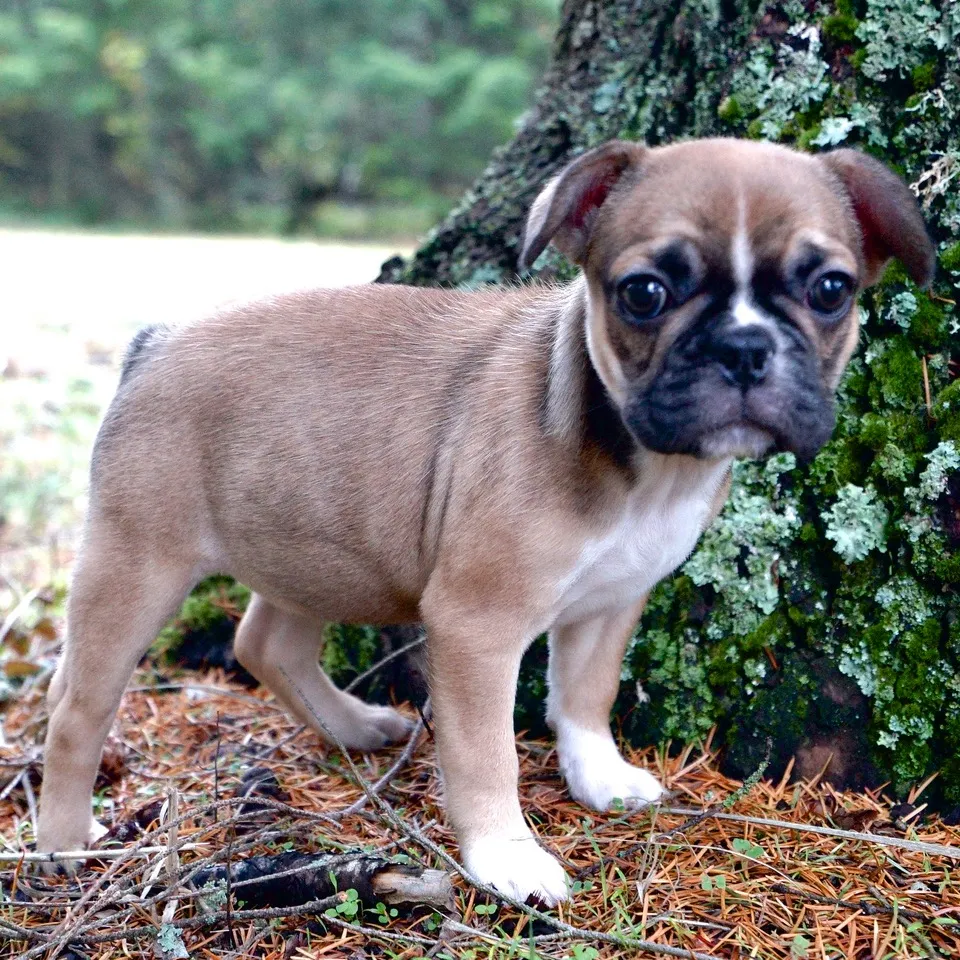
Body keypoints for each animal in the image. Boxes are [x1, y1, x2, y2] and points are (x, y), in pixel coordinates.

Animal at [37, 138, 933, 903]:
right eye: (645, 294)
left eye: (831, 290)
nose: (744, 348)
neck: (645, 466)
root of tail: (155, 343)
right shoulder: (478, 626)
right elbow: (483, 753)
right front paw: (507, 855)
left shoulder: (612, 603)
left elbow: (586, 695)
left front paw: (599, 776)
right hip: (137, 563)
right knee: (77, 708)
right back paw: (63, 839)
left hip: (313, 539)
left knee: (267, 642)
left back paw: (353, 726)